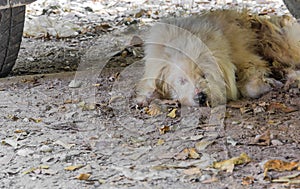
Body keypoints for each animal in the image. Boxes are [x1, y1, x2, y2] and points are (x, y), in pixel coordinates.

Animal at [137, 9, 300, 106]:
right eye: (181, 81)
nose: (200, 97)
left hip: (281, 47)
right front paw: (148, 96)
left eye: (205, 75)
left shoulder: (247, 59)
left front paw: (267, 84)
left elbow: (251, 85)